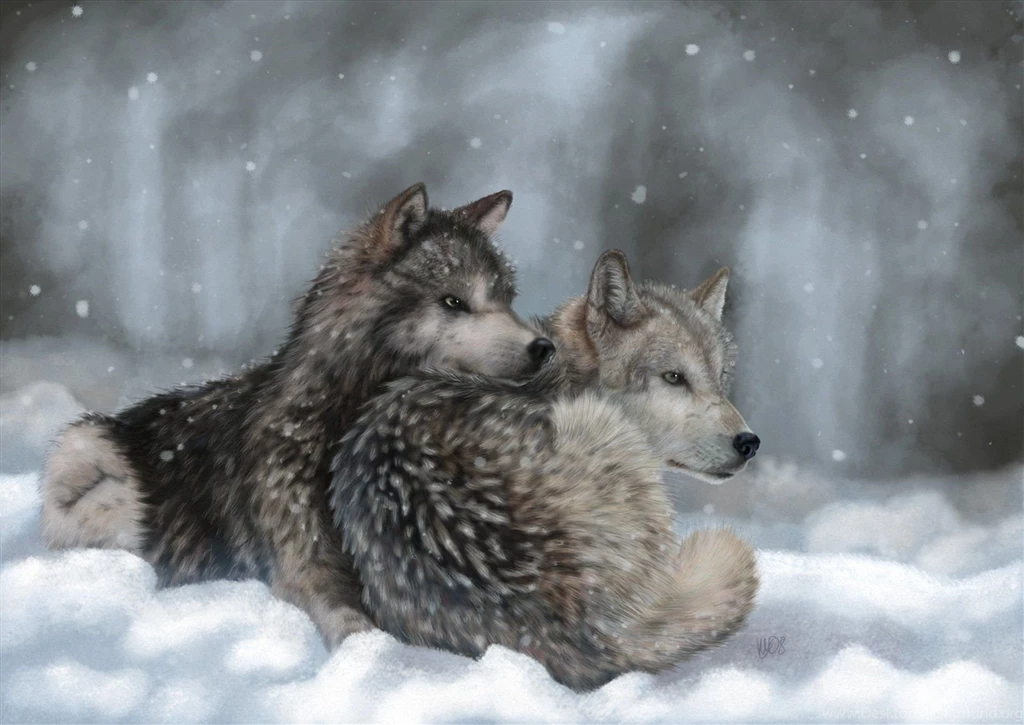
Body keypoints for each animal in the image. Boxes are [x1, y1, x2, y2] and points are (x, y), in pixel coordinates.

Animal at [40, 183, 556, 646]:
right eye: (454, 301)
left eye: (506, 299)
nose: (545, 348)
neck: (339, 421)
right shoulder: (303, 573)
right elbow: (355, 630)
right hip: (84, 449)